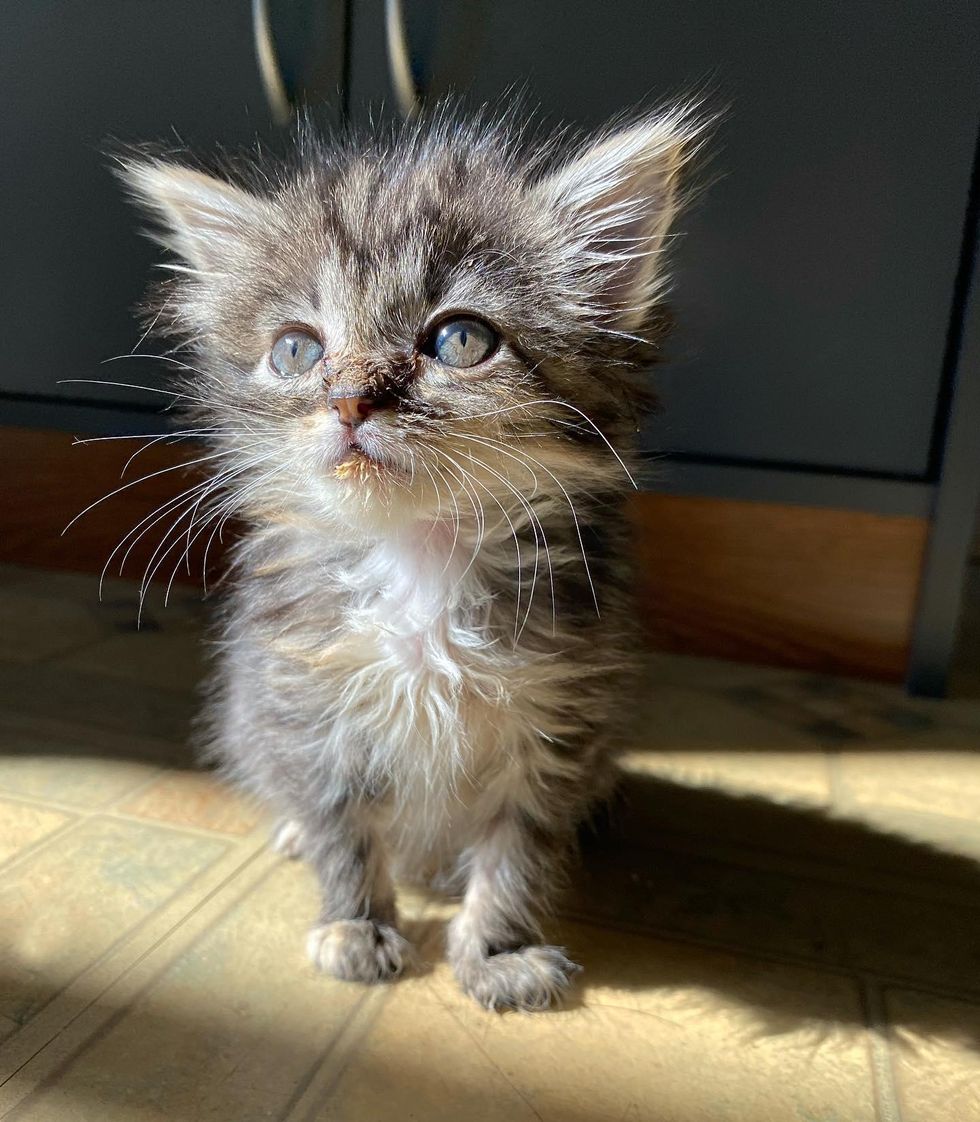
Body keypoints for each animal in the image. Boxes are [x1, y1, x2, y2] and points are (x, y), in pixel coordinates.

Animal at [120, 105, 695, 1014]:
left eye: (460, 339)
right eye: (296, 351)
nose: (350, 397)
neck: (420, 558)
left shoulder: (557, 715)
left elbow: (518, 848)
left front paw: (499, 949)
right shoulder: (305, 703)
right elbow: (343, 830)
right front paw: (355, 924)